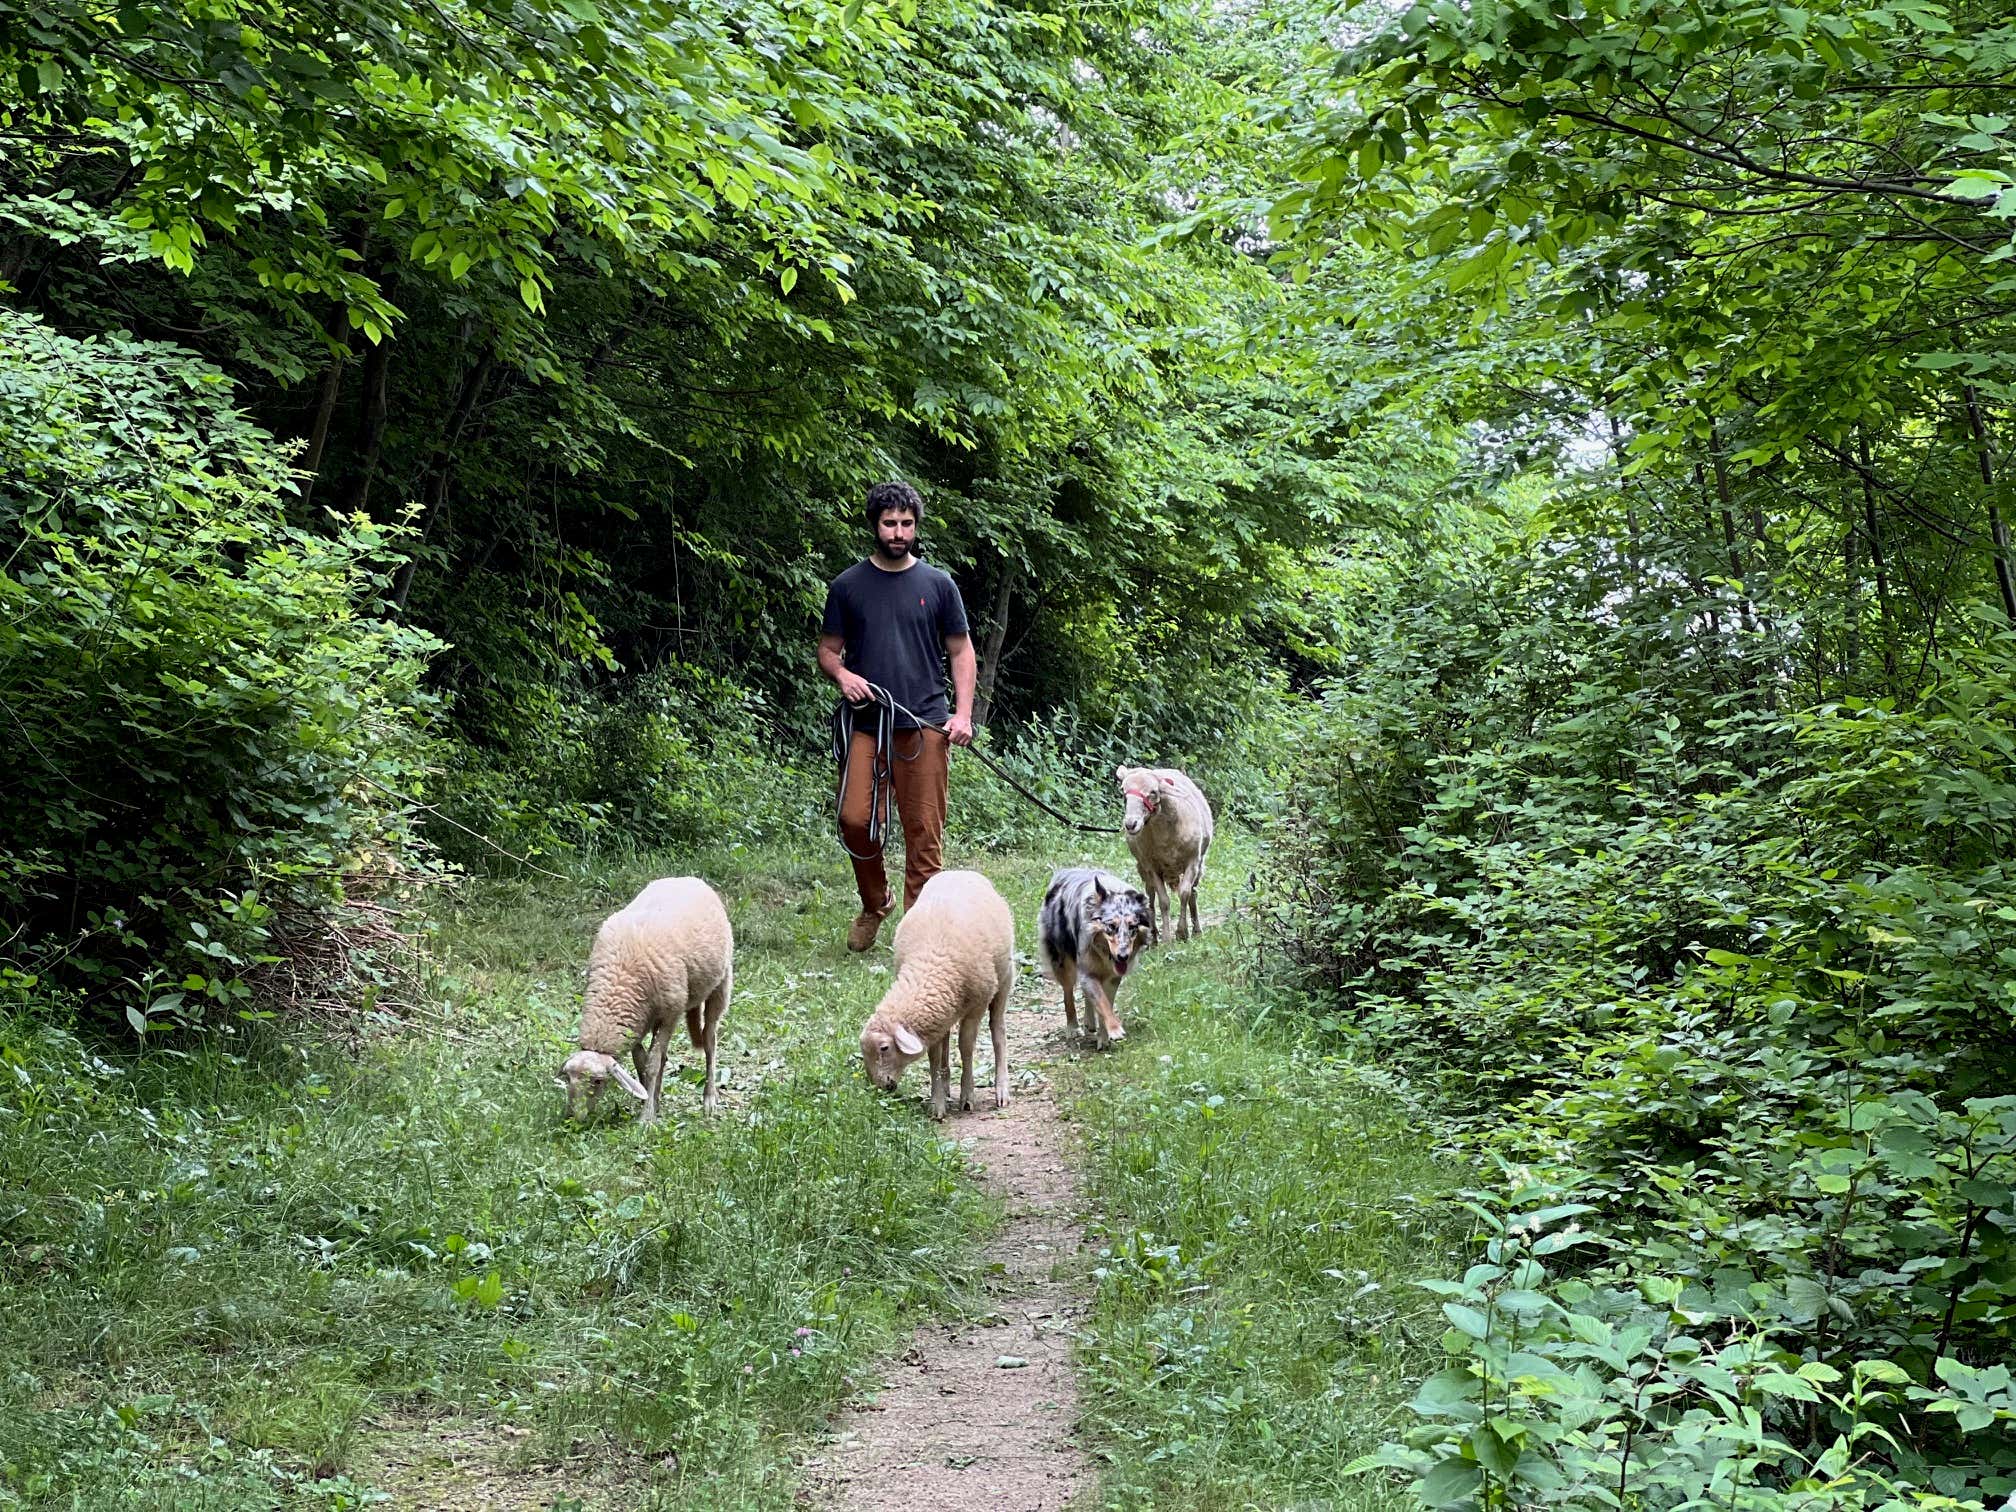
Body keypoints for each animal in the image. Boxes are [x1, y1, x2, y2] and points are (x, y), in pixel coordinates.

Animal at [558, 876, 732, 1123]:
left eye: (598, 1081)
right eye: (568, 1078)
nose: (573, 1118)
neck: (619, 984)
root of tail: (689, 878)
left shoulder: (670, 1014)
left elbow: (652, 1063)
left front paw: (646, 1117)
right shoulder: (637, 1021)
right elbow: (641, 1060)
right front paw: (651, 1102)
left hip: (722, 983)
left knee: (710, 1040)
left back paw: (709, 1099)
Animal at [857, 869, 1014, 1120]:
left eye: (884, 1048)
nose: (881, 1086)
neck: (931, 961)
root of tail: (961, 871)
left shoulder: (977, 1005)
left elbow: (966, 1047)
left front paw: (967, 1095)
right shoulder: (936, 1014)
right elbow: (934, 1055)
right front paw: (937, 1102)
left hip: (1005, 979)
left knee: (998, 1030)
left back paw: (1001, 1089)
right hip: (947, 1010)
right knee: (946, 1042)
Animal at [1115, 764, 1215, 941]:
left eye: (1153, 792)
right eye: (1123, 792)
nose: (1131, 824)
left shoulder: (1193, 861)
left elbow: (1185, 894)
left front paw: (1182, 932)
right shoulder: (1152, 867)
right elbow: (1163, 901)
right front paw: (1167, 937)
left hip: (1200, 864)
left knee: (1193, 893)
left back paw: (1196, 930)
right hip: (1142, 867)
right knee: (1150, 895)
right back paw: (1154, 934)